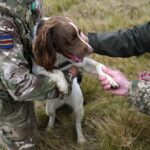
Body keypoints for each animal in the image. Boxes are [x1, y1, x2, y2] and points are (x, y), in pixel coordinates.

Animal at [31, 16, 118, 144]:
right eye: (71, 38)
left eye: (79, 32)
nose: (91, 49)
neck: (59, 58)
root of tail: (63, 102)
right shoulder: (36, 68)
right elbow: (55, 71)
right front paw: (63, 85)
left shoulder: (81, 63)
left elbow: (97, 66)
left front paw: (109, 78)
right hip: (49, 108)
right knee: (52, 116)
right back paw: (49, 128)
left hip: (78, 108)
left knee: (77, 123)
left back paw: (81, 139)